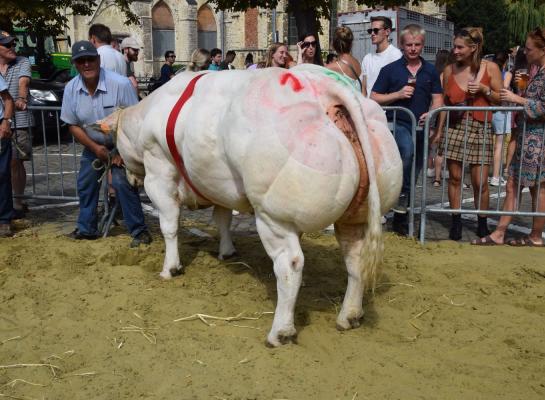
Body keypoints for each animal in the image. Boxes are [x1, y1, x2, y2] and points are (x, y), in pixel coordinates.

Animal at [100, 65, 402, 346]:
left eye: (114, 142)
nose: (126, 176)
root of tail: (324, 86)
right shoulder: (217, 184)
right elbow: (222, 219)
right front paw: (227, 251)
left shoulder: (159, 171)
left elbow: (169, 224)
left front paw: (170, 269)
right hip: (355, 216)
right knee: (356, 258)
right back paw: (349, 316)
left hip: (274, 216)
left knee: (290, 264)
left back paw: (280, 332)